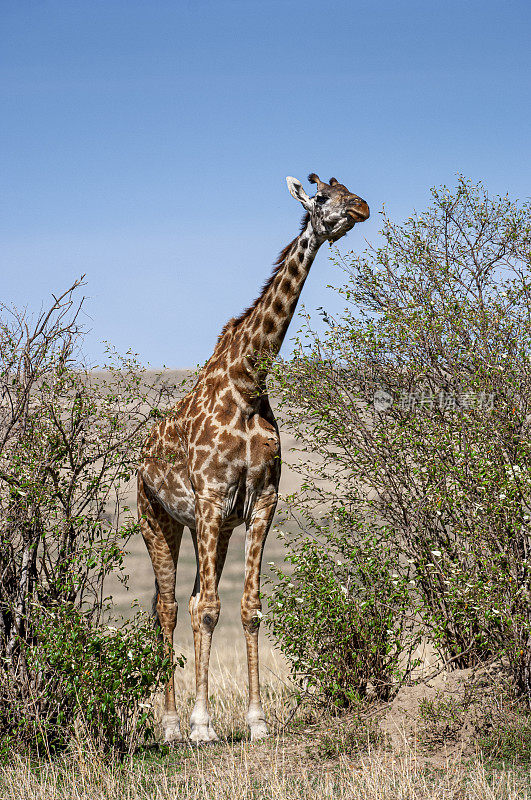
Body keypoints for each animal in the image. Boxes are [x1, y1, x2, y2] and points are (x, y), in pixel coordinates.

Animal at [137, 172, 370, 740]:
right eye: (322, 196)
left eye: (348, 186)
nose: (362, 207)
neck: (248, 382)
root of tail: (141, 456)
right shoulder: (210, 498)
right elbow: (209, 609)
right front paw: (201, 726)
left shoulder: (260, 501)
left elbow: (248, 608)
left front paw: (257, 720)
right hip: (159, 520)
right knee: (169, 608)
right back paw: (173, 726)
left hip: (209, 529)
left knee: (190, 602)